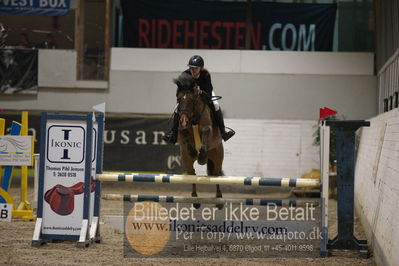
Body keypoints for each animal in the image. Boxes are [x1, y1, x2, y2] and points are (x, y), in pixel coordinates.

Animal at [175, 71, 225, 209]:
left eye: (192, 100)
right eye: (178, 99)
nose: (184, 120)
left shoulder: (208, 128)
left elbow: (206, 131)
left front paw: (201, 157)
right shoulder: (182, 129)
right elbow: (183, 132)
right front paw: (193, 152)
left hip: (217, 155)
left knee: (216, 174)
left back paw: (219, 199)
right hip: (186, 160)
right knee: (192, 174)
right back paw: (195, 200)